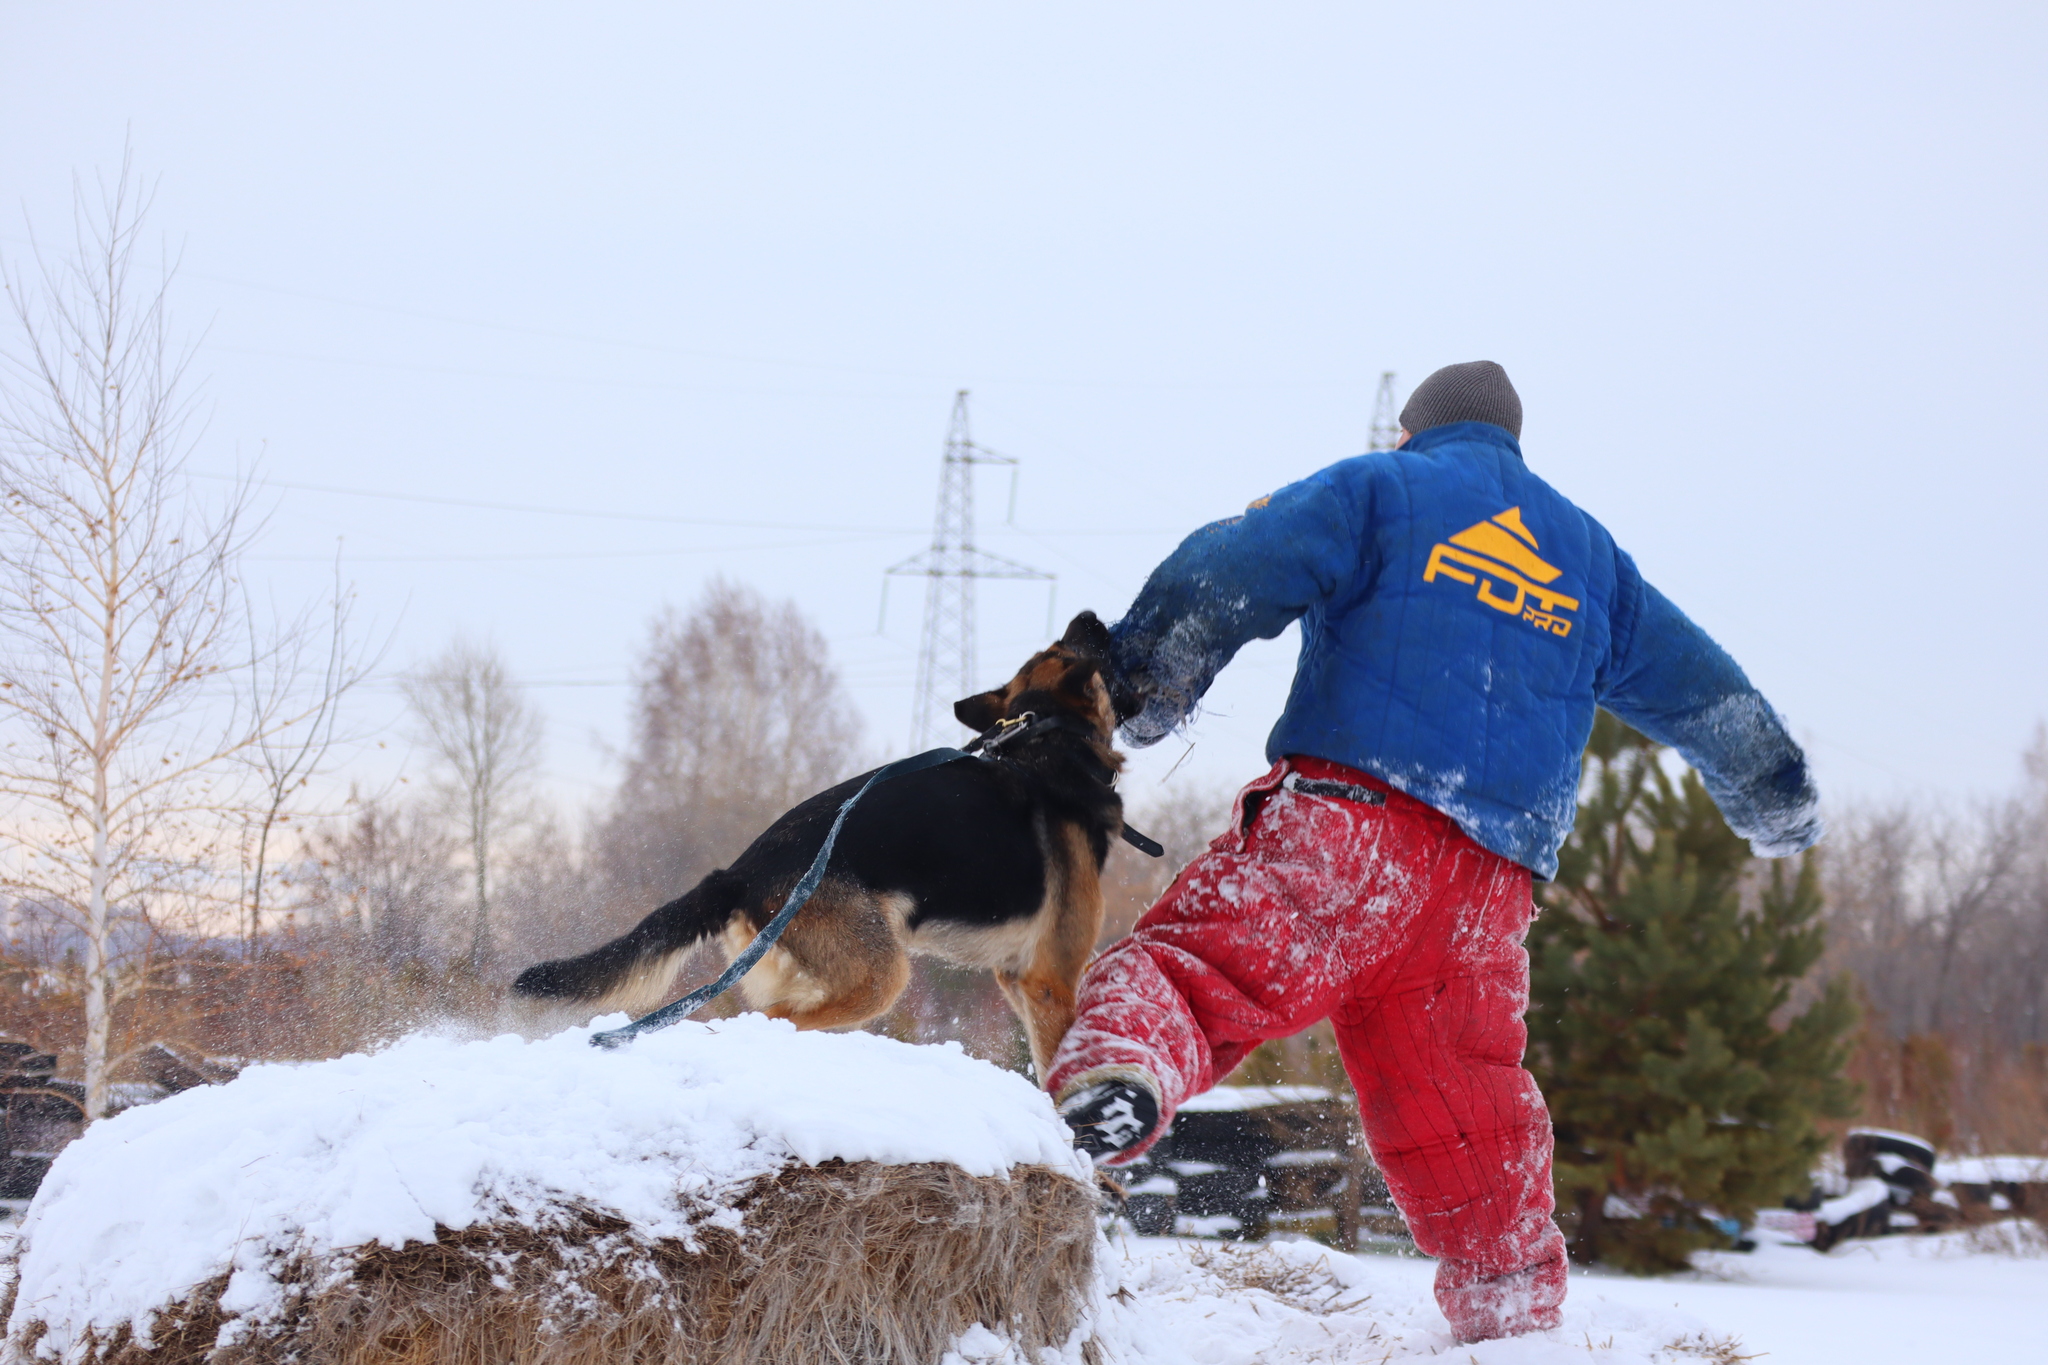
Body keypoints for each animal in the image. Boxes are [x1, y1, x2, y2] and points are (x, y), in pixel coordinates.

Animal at [505, 618, 1130, 1080]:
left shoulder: (1018, 979)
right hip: (880, 974)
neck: (1046, 739)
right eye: (1069, 646)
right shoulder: (1052, 980)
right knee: (763, 1021)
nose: (1090, 616)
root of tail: (738, 872)